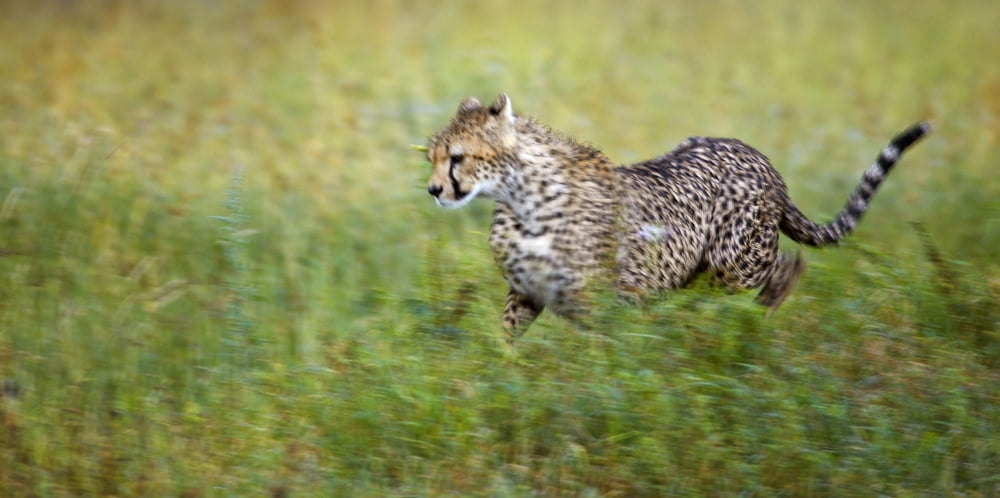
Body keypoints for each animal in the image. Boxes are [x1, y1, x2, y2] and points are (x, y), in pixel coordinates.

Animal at [422, 94, 930, 342]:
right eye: (432, 157)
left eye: (458, 158)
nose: (433, 190)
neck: (520, 196)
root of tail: (758, 157)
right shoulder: (527, 292)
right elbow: (506, 339)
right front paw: (498, 374)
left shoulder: (612, 296)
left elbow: (600, 357)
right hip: (702, 272)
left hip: (732, 262)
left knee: (787, 266)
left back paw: (751, 322)